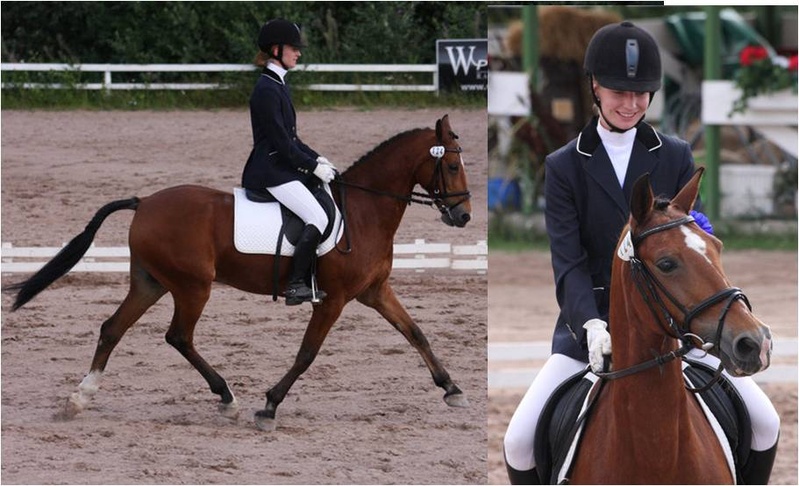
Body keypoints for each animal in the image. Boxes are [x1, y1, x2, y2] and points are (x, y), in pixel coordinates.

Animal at [6, 114, 473, 431]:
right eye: (451, 167)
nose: (464, 216)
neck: (363, 211)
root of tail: (144, 203)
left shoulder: (375, 291)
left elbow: (415, 333)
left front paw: (451, 389)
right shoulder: (334, 299)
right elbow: (307, 353)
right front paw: (269, 406)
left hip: (151, 283)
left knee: (112, 328)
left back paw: (79, 399)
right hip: (192, 287)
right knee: (178, 337)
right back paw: (226, 397)